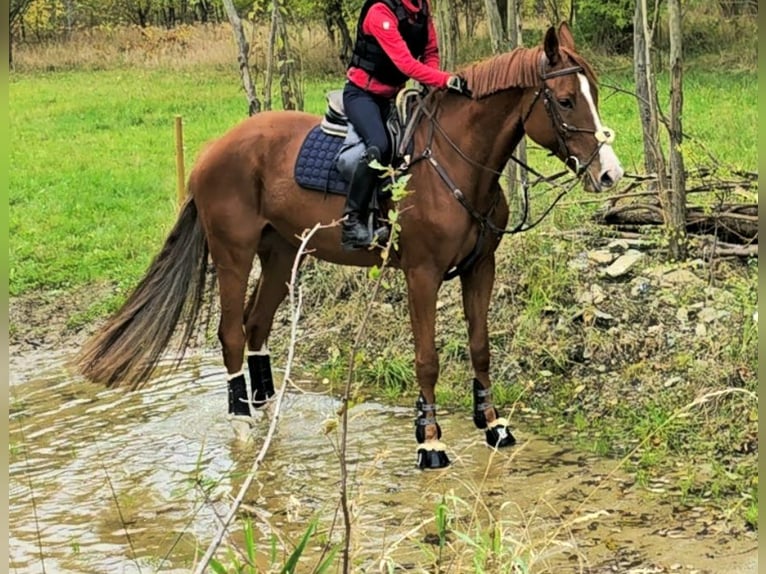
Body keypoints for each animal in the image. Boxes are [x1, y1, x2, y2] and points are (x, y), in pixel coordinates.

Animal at [76, 23, 624, 472]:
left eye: (594, 92)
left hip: (281, 254)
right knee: (231, 332)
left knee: (257, 326)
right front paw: (429, 441)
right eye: (566, 101)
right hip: (234, 254)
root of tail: (214, 150)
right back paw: (243, 422)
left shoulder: (479, 267)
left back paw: (267, 410)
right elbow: (428, 358)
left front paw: (492, 426)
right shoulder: (422, 274)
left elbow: (480, 346)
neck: (453, 163)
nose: (609, 174)